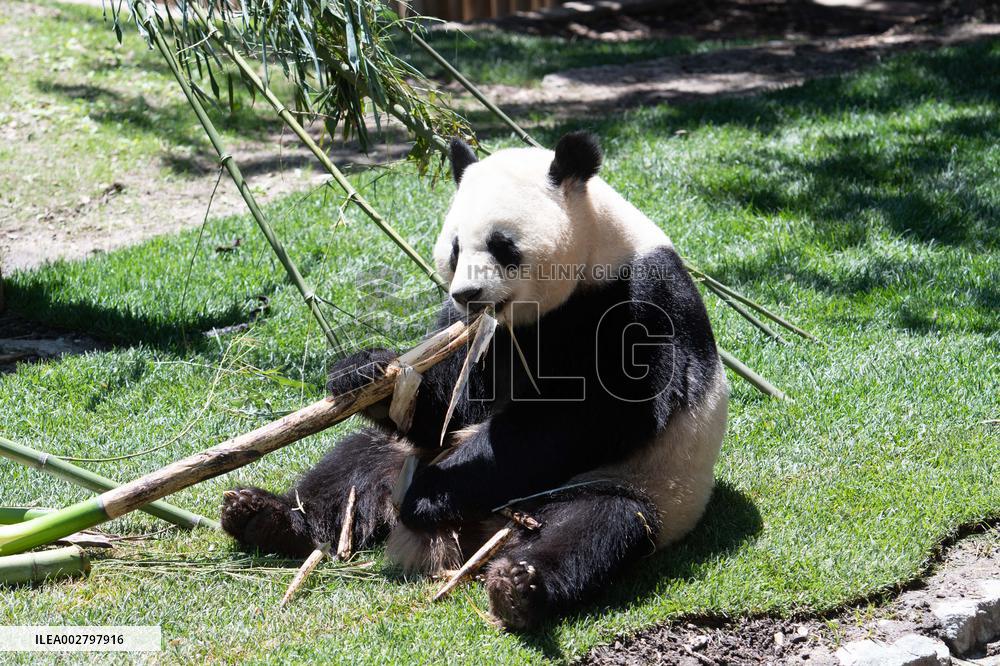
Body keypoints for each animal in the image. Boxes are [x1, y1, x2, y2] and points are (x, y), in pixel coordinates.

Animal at [220, 131, 728, 630]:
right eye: (455, 248)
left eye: (503, 245)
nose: (468, 293)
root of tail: (475, 535)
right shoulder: (473, 329)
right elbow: (452, 404)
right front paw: (364, 371)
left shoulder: (634, 299)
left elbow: (597, 415)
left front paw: (432, 496)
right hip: (402, 459)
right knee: (352, 468)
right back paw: (264, 516)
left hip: (633, 483)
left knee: (595, 523)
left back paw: (516, 584)